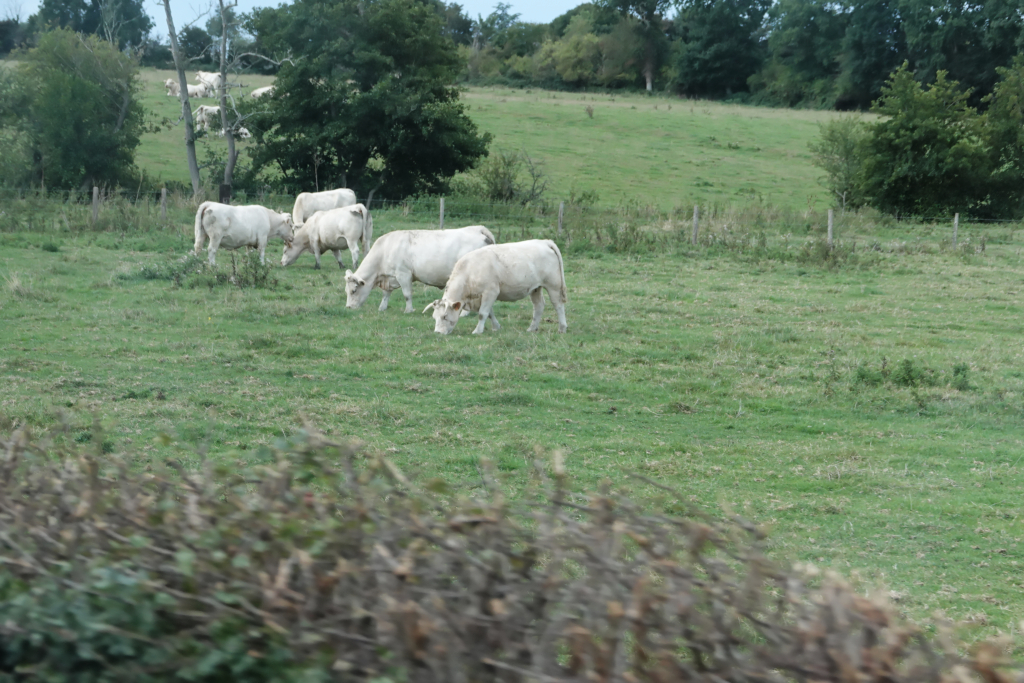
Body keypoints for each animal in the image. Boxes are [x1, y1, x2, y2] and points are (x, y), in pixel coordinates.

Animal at [344, 225, 495, 313]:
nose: (348, 307)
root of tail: (479, 229)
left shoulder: (403, 274)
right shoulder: (390, 277)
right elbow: (386, 294)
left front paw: (408, 310)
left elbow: (407, 294)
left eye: (353, 291)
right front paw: (382, 308)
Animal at [424, 239, 567, 335]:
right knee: (538, 306)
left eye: (445, 316)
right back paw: (532, 328)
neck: (469, 272)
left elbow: (482, 313)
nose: (437, 332)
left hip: (553, 285)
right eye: (434, 317)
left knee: (558, 305)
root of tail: (544, 242)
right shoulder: (483, 296)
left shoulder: (491, 291)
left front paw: (477, 331)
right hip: (536, 288)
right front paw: (496, 327)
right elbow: (489, 313)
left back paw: (562, 328)